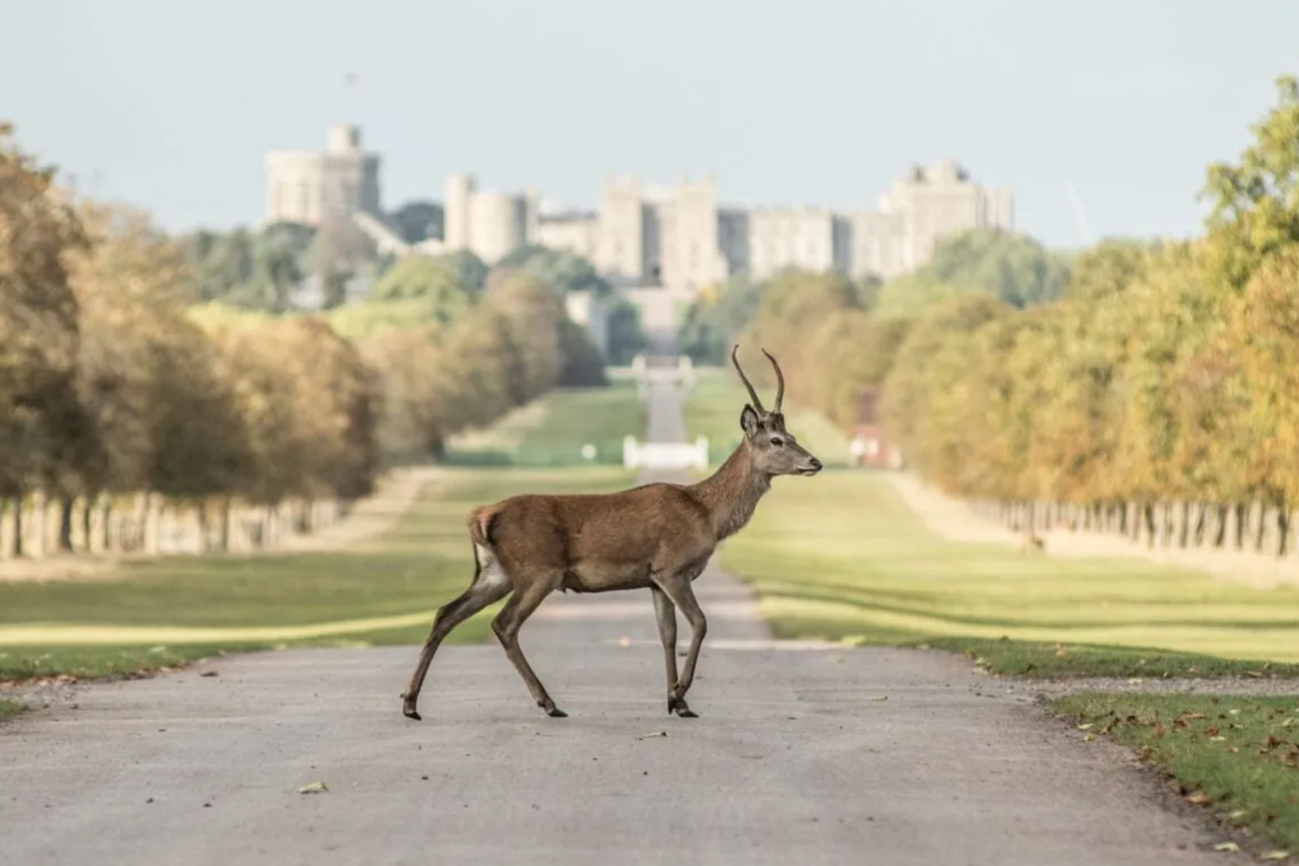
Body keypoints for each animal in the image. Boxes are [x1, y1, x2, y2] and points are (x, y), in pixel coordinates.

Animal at [400, 345, 823, 722]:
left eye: (793, 435)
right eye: (776, 440)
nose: (815, 462)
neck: (707, 515)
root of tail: (480, 516)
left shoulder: (654, 579)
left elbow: (667, 634)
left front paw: (677, 702)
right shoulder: (673, 567)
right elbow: (701, 622)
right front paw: (679, 694)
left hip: (495, 572)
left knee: (446, 613)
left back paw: (411, 703)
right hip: (538, 570)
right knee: (503, 624)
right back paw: (549, 703)